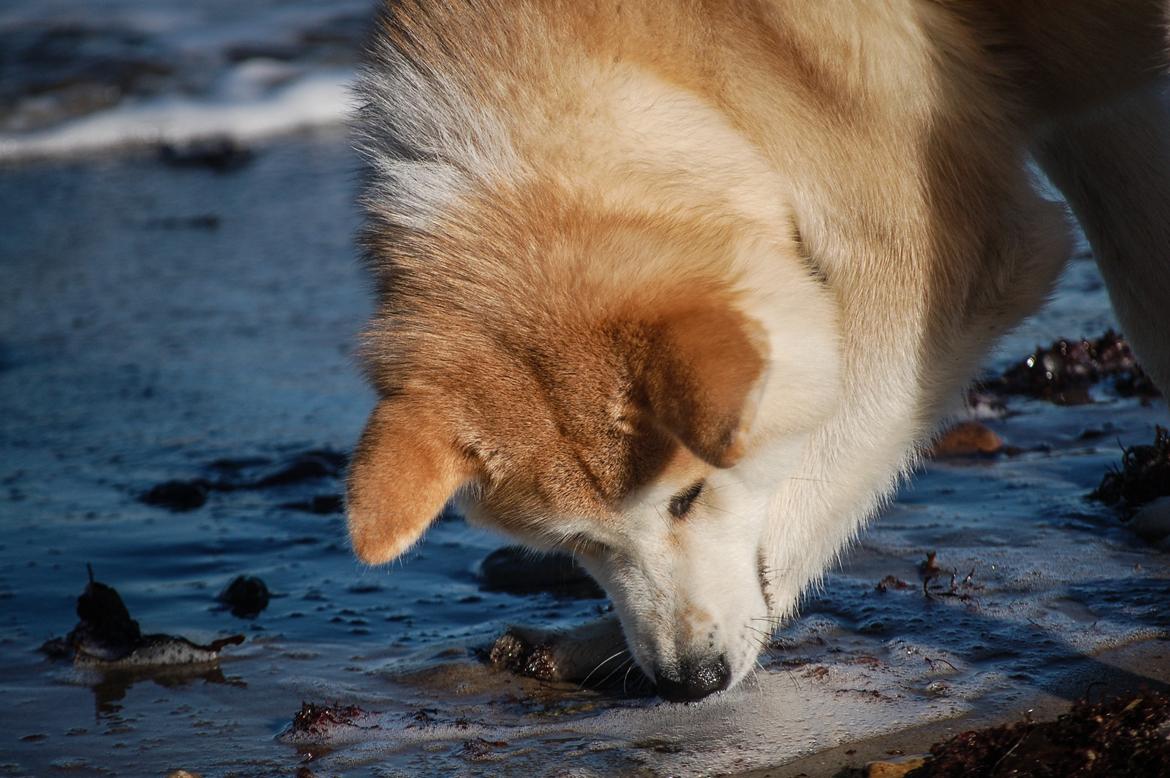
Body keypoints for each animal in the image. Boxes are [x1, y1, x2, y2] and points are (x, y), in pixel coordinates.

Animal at [343, 0, 1170, 701]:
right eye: (579, 541)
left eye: (687, 498)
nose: (690, 682)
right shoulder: (1096, 113)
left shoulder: (951, 262)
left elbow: (802, 497)